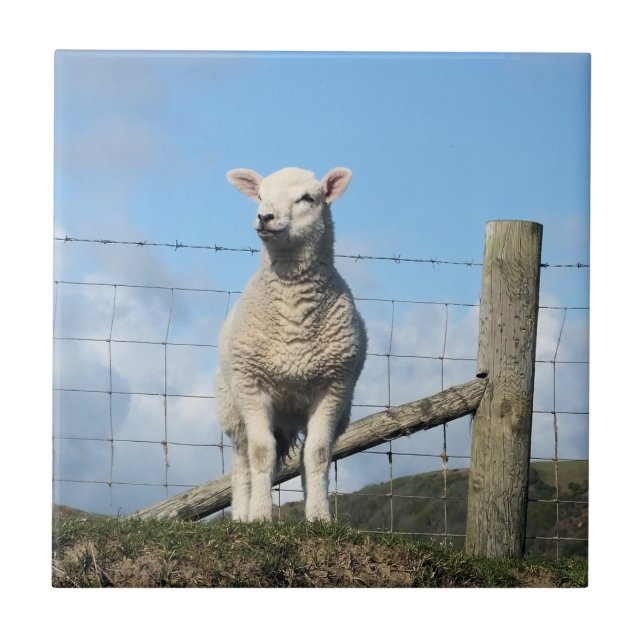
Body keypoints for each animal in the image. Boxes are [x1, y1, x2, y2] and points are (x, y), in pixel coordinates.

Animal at [217, 166, 367, 522]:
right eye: (260, 195)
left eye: (307, 198)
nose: (264, 216)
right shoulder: (251, 385)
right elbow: (261, 453)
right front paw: (259, 516)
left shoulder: (333, 387)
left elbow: (318, 454)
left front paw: (320, 517)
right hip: (233, 407)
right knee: (242, 462)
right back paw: (241, 515)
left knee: (303, 456)